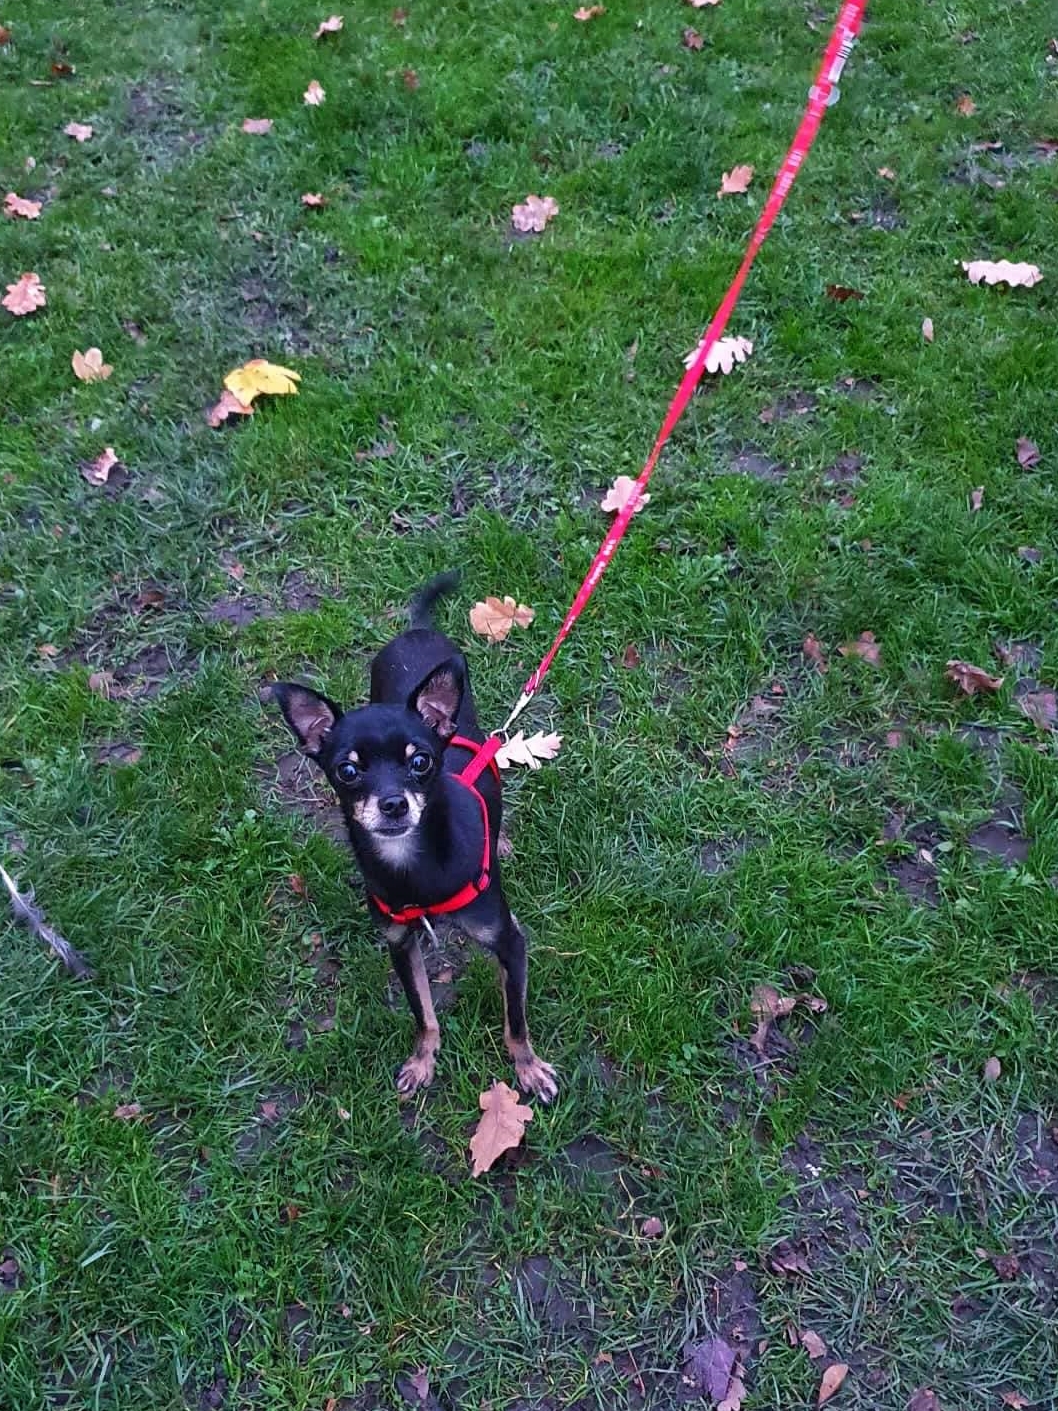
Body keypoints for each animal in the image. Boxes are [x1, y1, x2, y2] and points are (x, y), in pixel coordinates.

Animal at [272, 573, 557, 1102]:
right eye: (347, 771)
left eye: (421, 761)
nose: (393, 803)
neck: (415, 864)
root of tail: (416, 631)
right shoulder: (400, 944)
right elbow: (423, 1012)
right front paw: (423, 1061)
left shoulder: (509, 941)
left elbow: (516, 1019)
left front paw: (528, 1068)